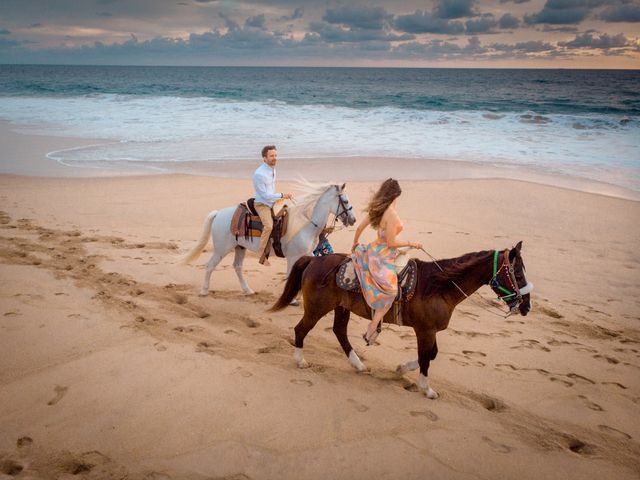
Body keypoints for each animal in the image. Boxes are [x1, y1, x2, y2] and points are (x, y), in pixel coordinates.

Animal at [180, 181, 358, 296]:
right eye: (345, 200)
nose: (353, 219)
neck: (305, 224)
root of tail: (218, 214)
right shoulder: (293, 256)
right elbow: (290, 274)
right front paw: (293, 299)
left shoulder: (308, 254)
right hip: (221, 250)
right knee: (210, 266)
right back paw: (204, 291)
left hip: (239, 248)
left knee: (237, 267)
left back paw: (248, 291)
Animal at [272, 242, 536, 400]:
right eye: (518, 273)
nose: (526, 306)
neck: (439, 286)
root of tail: (314, 260)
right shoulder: (425, 331)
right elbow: (426, 357)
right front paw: (426, 388)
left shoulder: (429, 331)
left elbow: (430, 355)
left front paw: (401, 369)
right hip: (317, 308)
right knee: (301, 329)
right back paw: (300, 361)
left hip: (341, 308)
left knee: (339, 332)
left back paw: (358, 365)